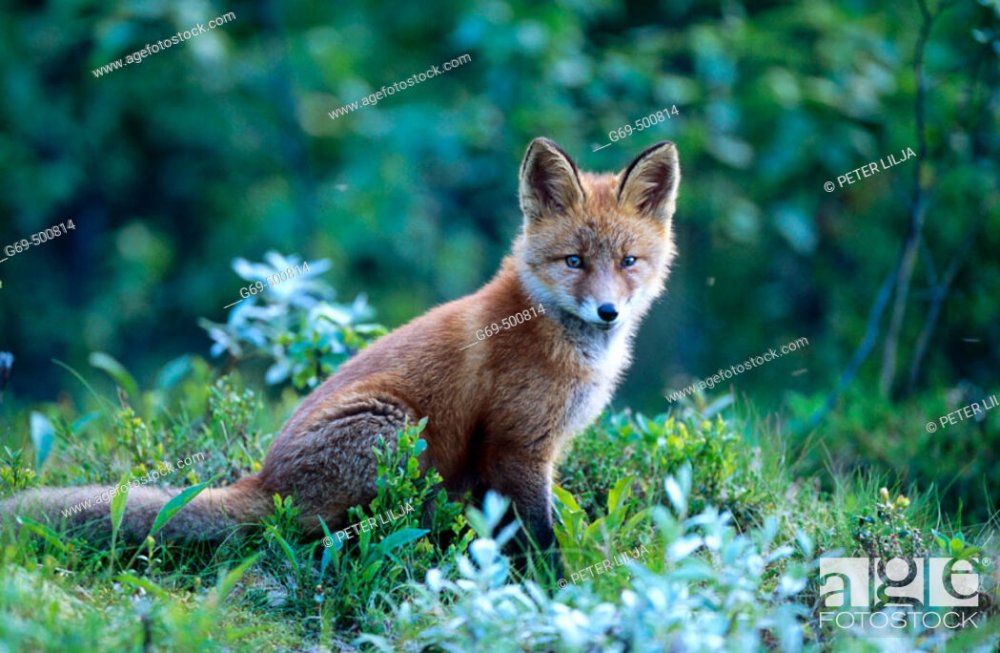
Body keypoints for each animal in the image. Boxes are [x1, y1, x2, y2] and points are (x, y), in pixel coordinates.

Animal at [1, 138, 680, 560]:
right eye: (574, 262)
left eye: (628, 262)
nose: (609, 311)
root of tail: (264, 480)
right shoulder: (514, 445)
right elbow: (539, 540)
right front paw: (551, 591)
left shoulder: (526, 453)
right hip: (396, 430)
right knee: (324, 534)